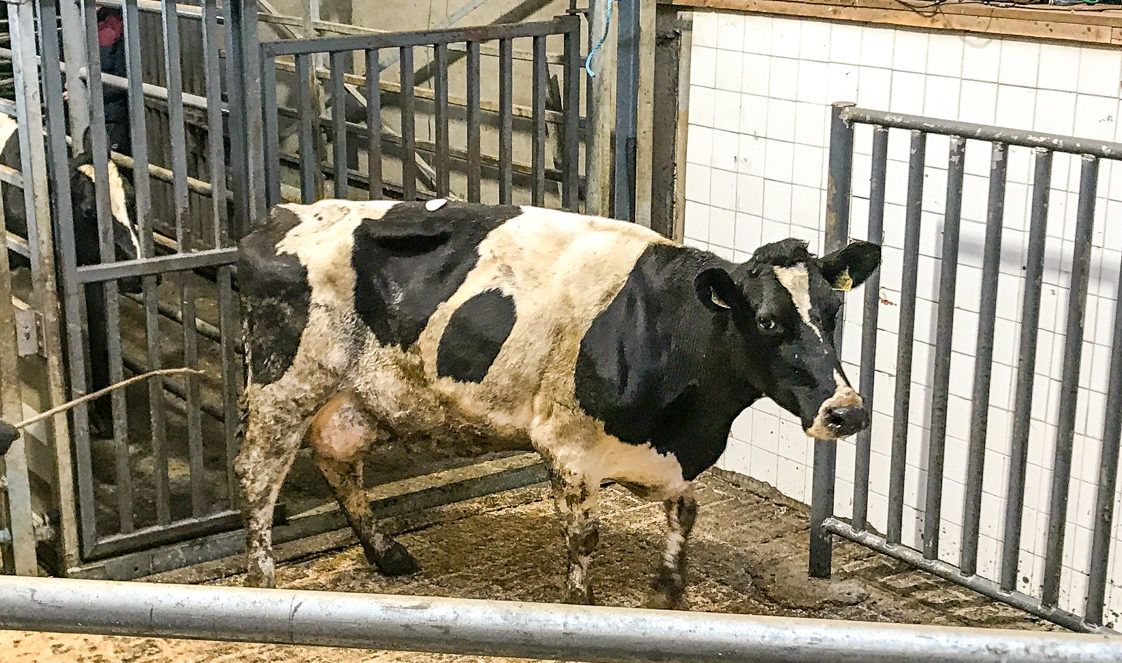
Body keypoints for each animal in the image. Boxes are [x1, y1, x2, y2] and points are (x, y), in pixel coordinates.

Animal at [235, 199, 880, 607]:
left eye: (832, 311)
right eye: (768, 321)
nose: (846, 411)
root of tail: (276, 218)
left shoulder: (667, 457)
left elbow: (686, 514)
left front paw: (668, 592)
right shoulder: (569, 448)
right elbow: (582, 538)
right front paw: (581, 602)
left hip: (355, 397)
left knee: (339, 459)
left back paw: (387, 553)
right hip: (282, 387)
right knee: (258, 476)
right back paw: (262, 579)